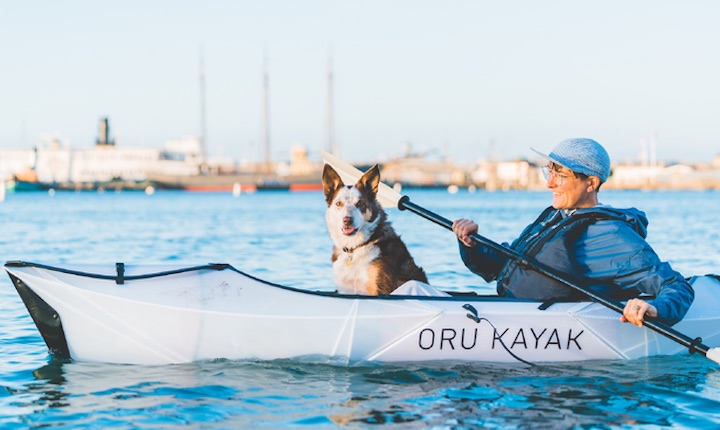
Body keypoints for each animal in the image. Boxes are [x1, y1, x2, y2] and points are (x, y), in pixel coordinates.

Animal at [322, 162, 428, 296]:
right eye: (338, 203)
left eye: (360, 203)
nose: (347, 220)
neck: (355, 249)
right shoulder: (345, 289)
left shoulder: (379, 290)